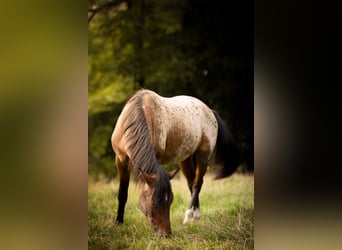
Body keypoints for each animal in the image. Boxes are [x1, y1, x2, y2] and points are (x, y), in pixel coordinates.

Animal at [111, 89, 239, 236]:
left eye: (170, 201)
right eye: (153, 203)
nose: (166, 234)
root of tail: (210, 111)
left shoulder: (156, 158)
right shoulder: (121, 160)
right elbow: (122, 194)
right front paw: (118, 223)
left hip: (203, 156)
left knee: (197, 184)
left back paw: (189, 216)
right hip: (184, 159)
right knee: (191, 183)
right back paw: (195, 215)